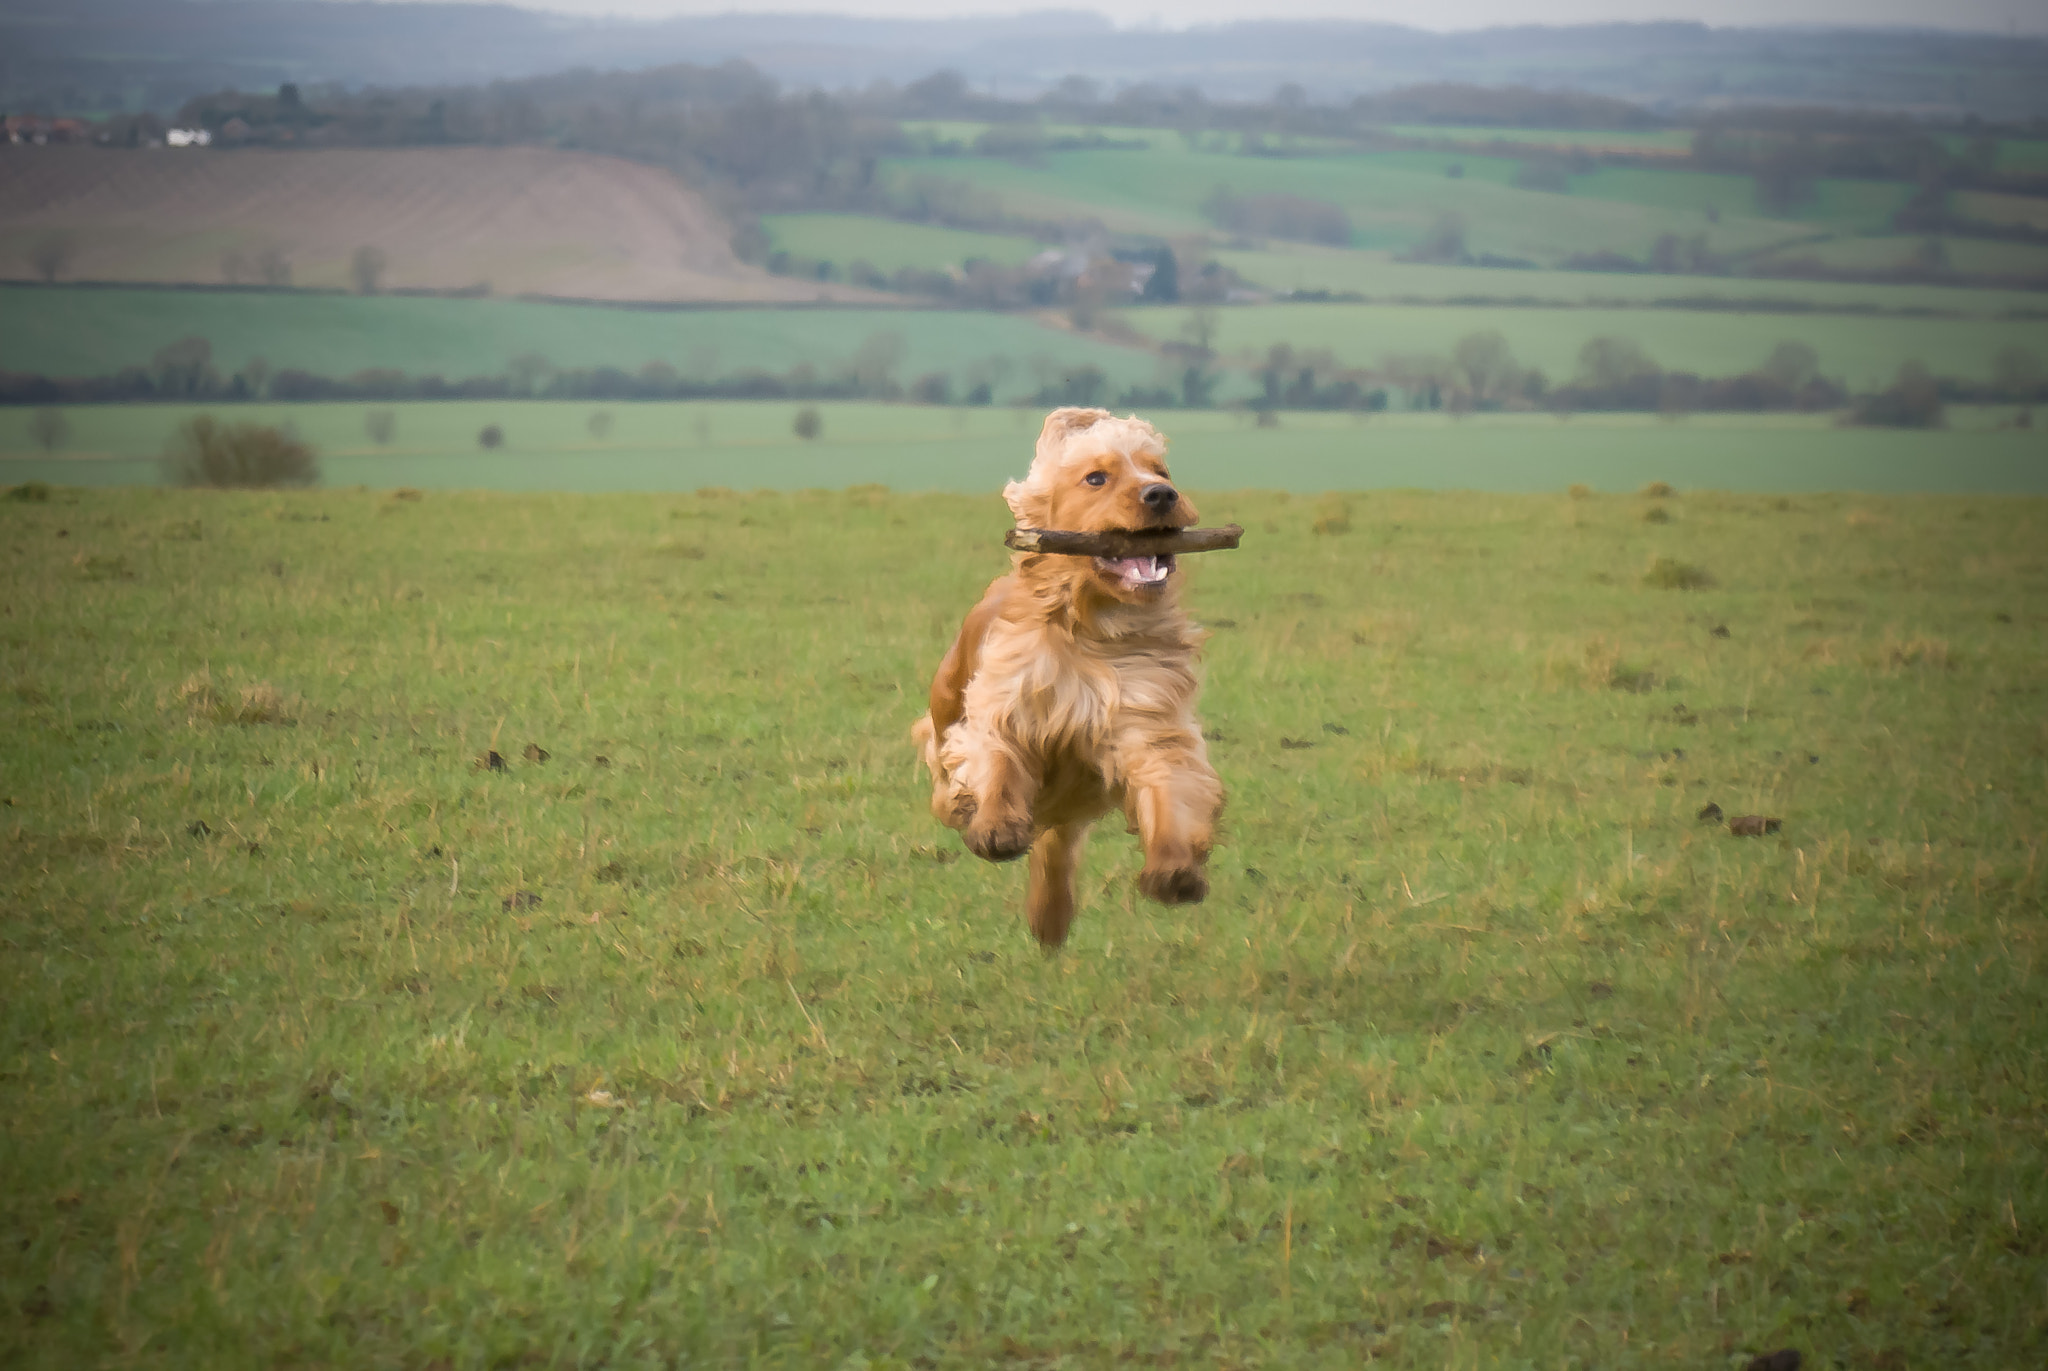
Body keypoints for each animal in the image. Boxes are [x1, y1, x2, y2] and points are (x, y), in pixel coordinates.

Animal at [909, 401, 1212, 946]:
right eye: (1096, 478)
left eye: (1161, 473)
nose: (1162, 495)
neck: (1091, 628)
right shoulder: (1003, 703)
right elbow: (996, 761)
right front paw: (994, 829)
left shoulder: (1149, 716)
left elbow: (1171, 788)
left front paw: (1174, 871)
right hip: (943, 712)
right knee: (947, 781)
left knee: (1056, 846)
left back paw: (1049, 921)